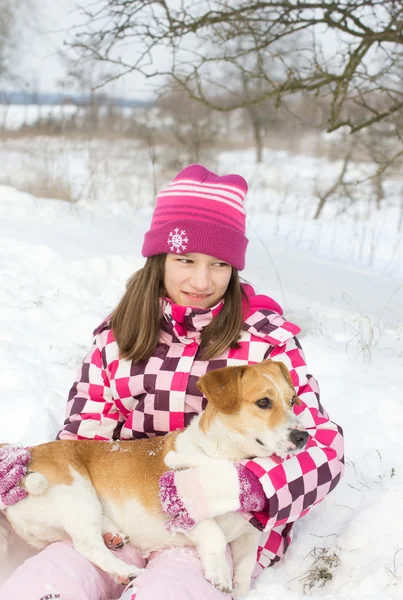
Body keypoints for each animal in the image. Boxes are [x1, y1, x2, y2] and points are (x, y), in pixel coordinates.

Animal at [2, 360, 310, 600]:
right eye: (263, 402)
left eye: (292, 400)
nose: (302, 436)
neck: (224, 457)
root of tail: (27, 455)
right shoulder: (179, 508)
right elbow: (214, 534)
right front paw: (220, 573)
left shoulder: (248, 536)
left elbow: (245, 571)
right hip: (77, 494)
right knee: (87, 545)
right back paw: (125, 570)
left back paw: (113, 536)